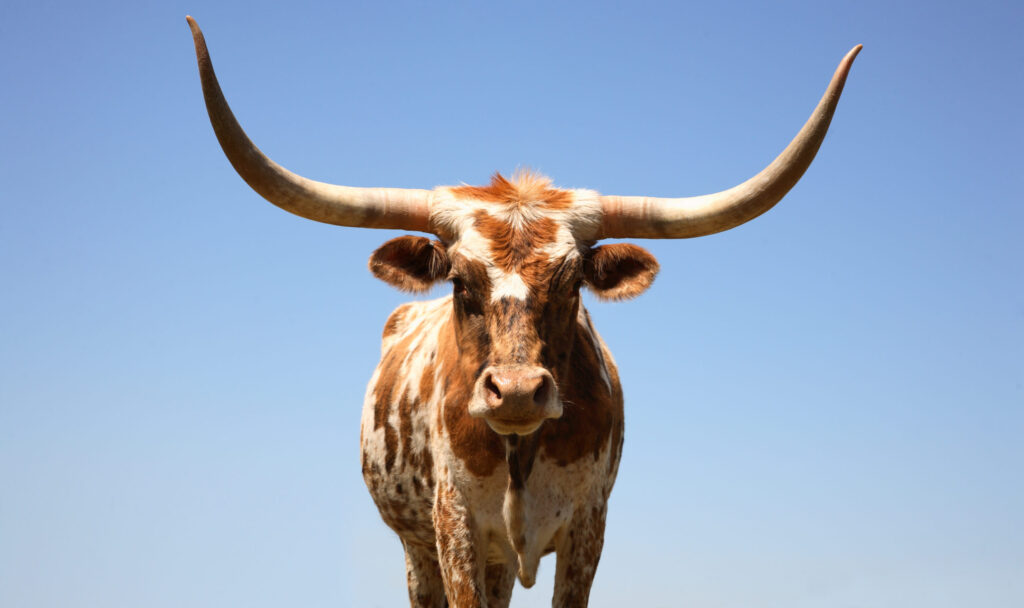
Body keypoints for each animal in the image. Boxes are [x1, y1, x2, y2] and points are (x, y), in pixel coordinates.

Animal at [187, 16, 859, 607]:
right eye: (459, 281)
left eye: (572, 282)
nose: (514, 392)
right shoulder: (453, 525)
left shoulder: (588, 525)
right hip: (421, 553)